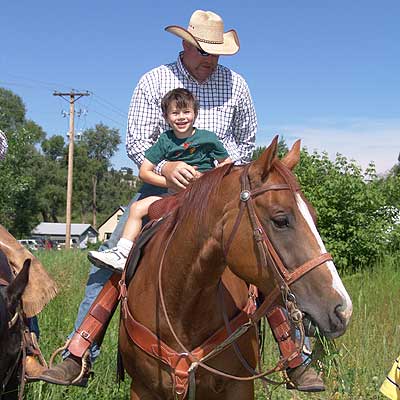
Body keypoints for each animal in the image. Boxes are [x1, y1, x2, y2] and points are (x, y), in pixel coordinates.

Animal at [117, 136, 352, 398]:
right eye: (281, 220)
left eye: (314, 216)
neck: (179, 304)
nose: (342, 309)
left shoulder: (239, 386)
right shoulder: (141, 388)